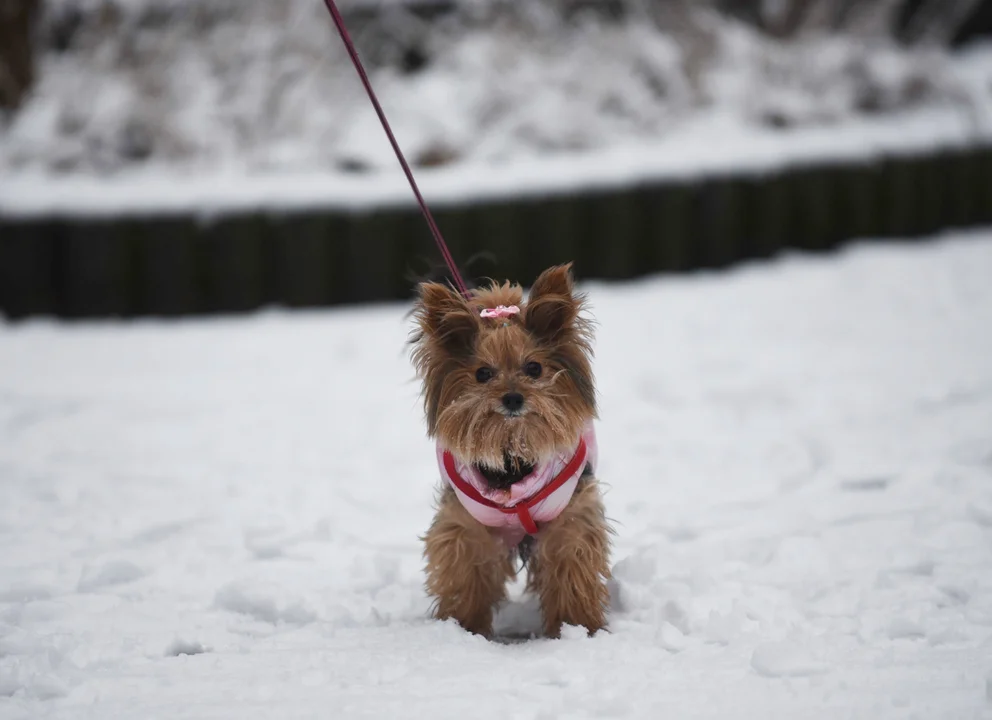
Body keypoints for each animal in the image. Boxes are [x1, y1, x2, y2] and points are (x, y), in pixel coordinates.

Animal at [406, 262, 608, 636]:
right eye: (483, 374)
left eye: (534, 368)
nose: (513, 397)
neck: (512, 453)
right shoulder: (466, 522)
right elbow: (465, 567)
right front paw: (464, 628)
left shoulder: (569, 515)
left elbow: (572, 561)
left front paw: (577, 626)